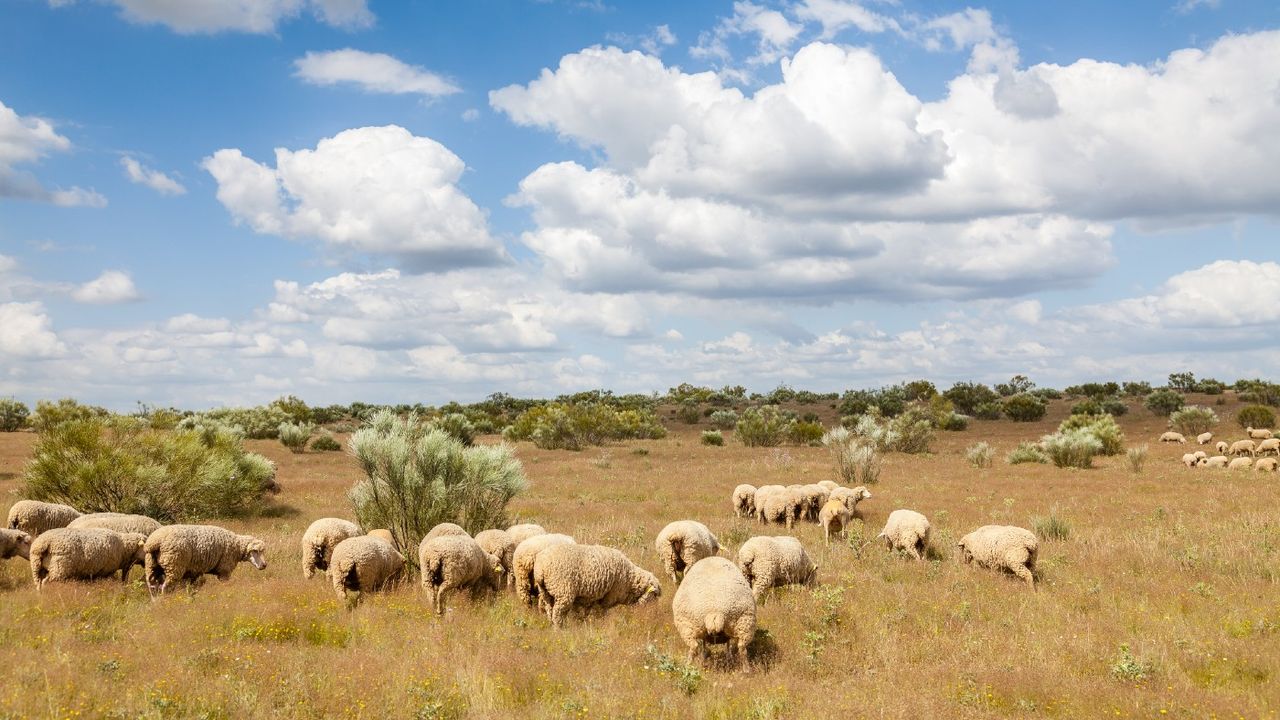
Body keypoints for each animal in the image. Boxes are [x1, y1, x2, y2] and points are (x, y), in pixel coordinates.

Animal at [529, 540, 660, 625]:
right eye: (654, 595)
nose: (653, 612)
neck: (630, 578)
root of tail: (541, 568)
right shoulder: (609, 596)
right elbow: (601, 611)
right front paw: (600, 622)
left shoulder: (592, 596)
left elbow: (586, 611)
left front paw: (583, 621)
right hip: (563, 591)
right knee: (557, 613)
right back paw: (559, 629)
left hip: (545, 592)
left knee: (549, 609)